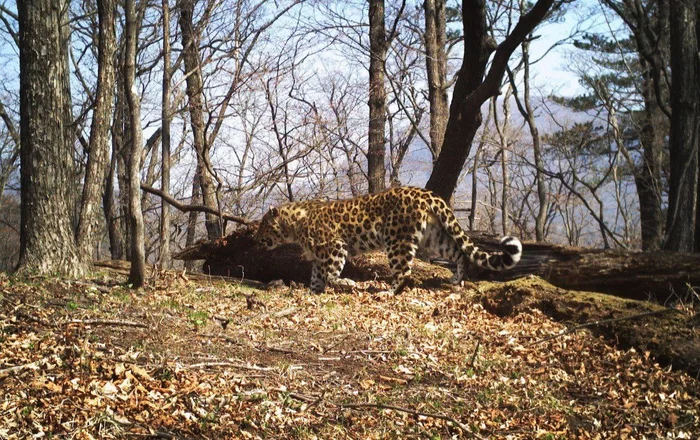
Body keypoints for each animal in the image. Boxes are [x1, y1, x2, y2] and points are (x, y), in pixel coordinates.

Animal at [256, 186, 520, 294]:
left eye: (262, 227)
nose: (257, 240)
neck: (293, 224)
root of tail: (427, 193)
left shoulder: (335, 247)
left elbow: (330, 274)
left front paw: (346, 284)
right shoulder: (319, 257)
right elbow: (316, 277)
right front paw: (314, 293)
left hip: (397, 240)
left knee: (404, 271)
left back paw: (387, 293)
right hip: (435, 237)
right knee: (459, 253)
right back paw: (457, 279)